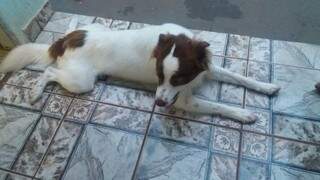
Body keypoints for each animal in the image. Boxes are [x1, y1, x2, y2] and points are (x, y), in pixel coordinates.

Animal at [0, 22, 280, 123]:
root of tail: (64, 40)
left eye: (178, 78)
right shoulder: (184, 101)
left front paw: (266, 87)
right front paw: (243, 114)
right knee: (49, 71)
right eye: (158, 75)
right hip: (82, 81)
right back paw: (36, 91)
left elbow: (239, 77)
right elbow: (218, 106)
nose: (158, 104)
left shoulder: (205, 69)